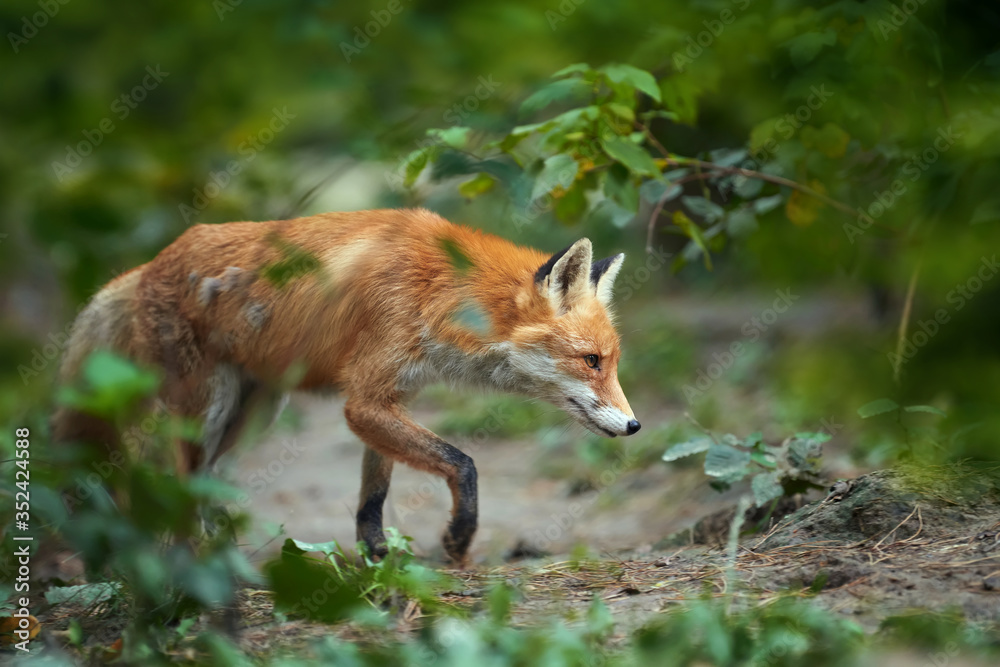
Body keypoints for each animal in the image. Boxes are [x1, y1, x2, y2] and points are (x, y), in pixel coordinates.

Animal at [56, 209, 640, 564]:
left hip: (253, 414)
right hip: (205, 413)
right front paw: (457, 537)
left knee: (201, 484)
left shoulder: (388, 398)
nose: (635, 425)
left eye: (612, 364)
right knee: (171, 485)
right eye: (590, 361)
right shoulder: (364, 400)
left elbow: (372, 498)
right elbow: (463, 462)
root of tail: (147, 265)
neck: (437, 291)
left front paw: (378, 560)